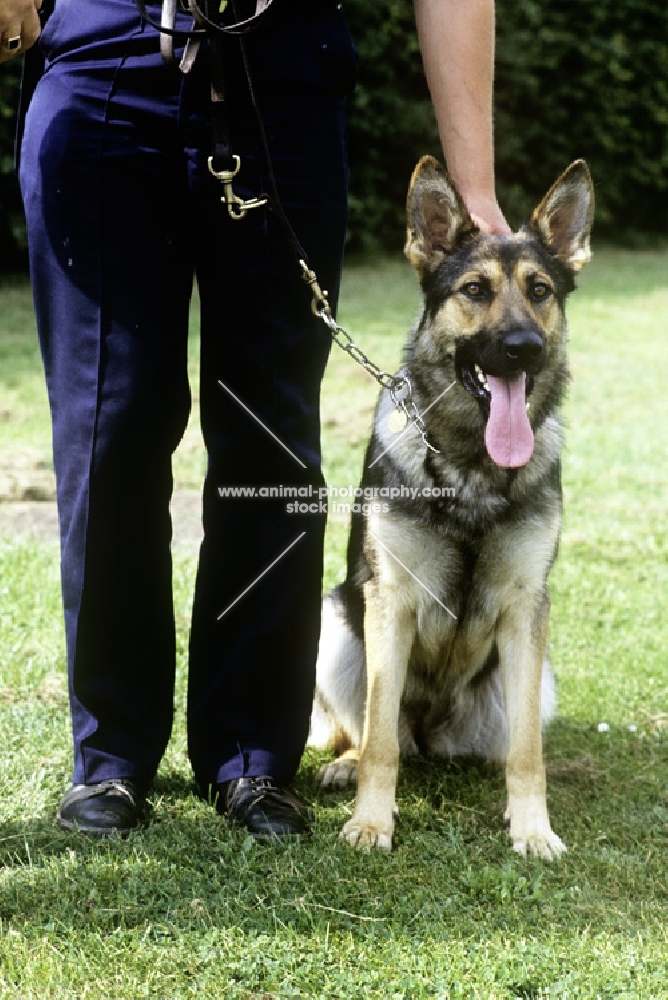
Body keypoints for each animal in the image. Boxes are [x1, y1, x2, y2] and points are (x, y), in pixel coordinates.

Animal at [310, 158, 596, 860]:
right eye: (474, 289)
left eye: (540, 290)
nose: (523, 347)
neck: (471, 465)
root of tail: (435, 736)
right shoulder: (389, 602)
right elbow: (380, 742)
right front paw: (371, 822)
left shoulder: (525, 608)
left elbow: (528, 754)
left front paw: (532, 827)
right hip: (338, 627)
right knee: (367, 730)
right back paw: (345, 765)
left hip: (532, 679)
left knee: (508, 743)